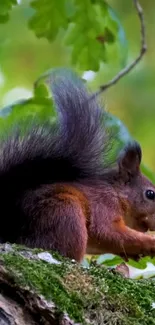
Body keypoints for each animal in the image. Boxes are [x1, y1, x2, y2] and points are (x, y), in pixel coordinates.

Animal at [0, 70, 155, 260]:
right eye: (150, 194)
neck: (117, 194)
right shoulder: (103, 204)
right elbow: (107, 231)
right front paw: (150, 242)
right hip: (65, 211)